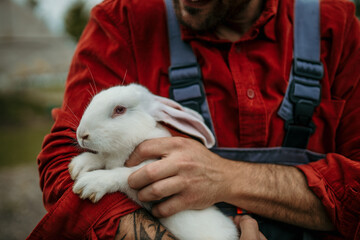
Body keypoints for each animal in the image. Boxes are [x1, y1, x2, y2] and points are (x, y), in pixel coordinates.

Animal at [68, 83, 239, 239]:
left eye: (120, 110)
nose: (82, 135)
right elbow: (102, 157)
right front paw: (78, 166)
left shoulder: (147, 171)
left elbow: (123, 174)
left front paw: (89, 184)